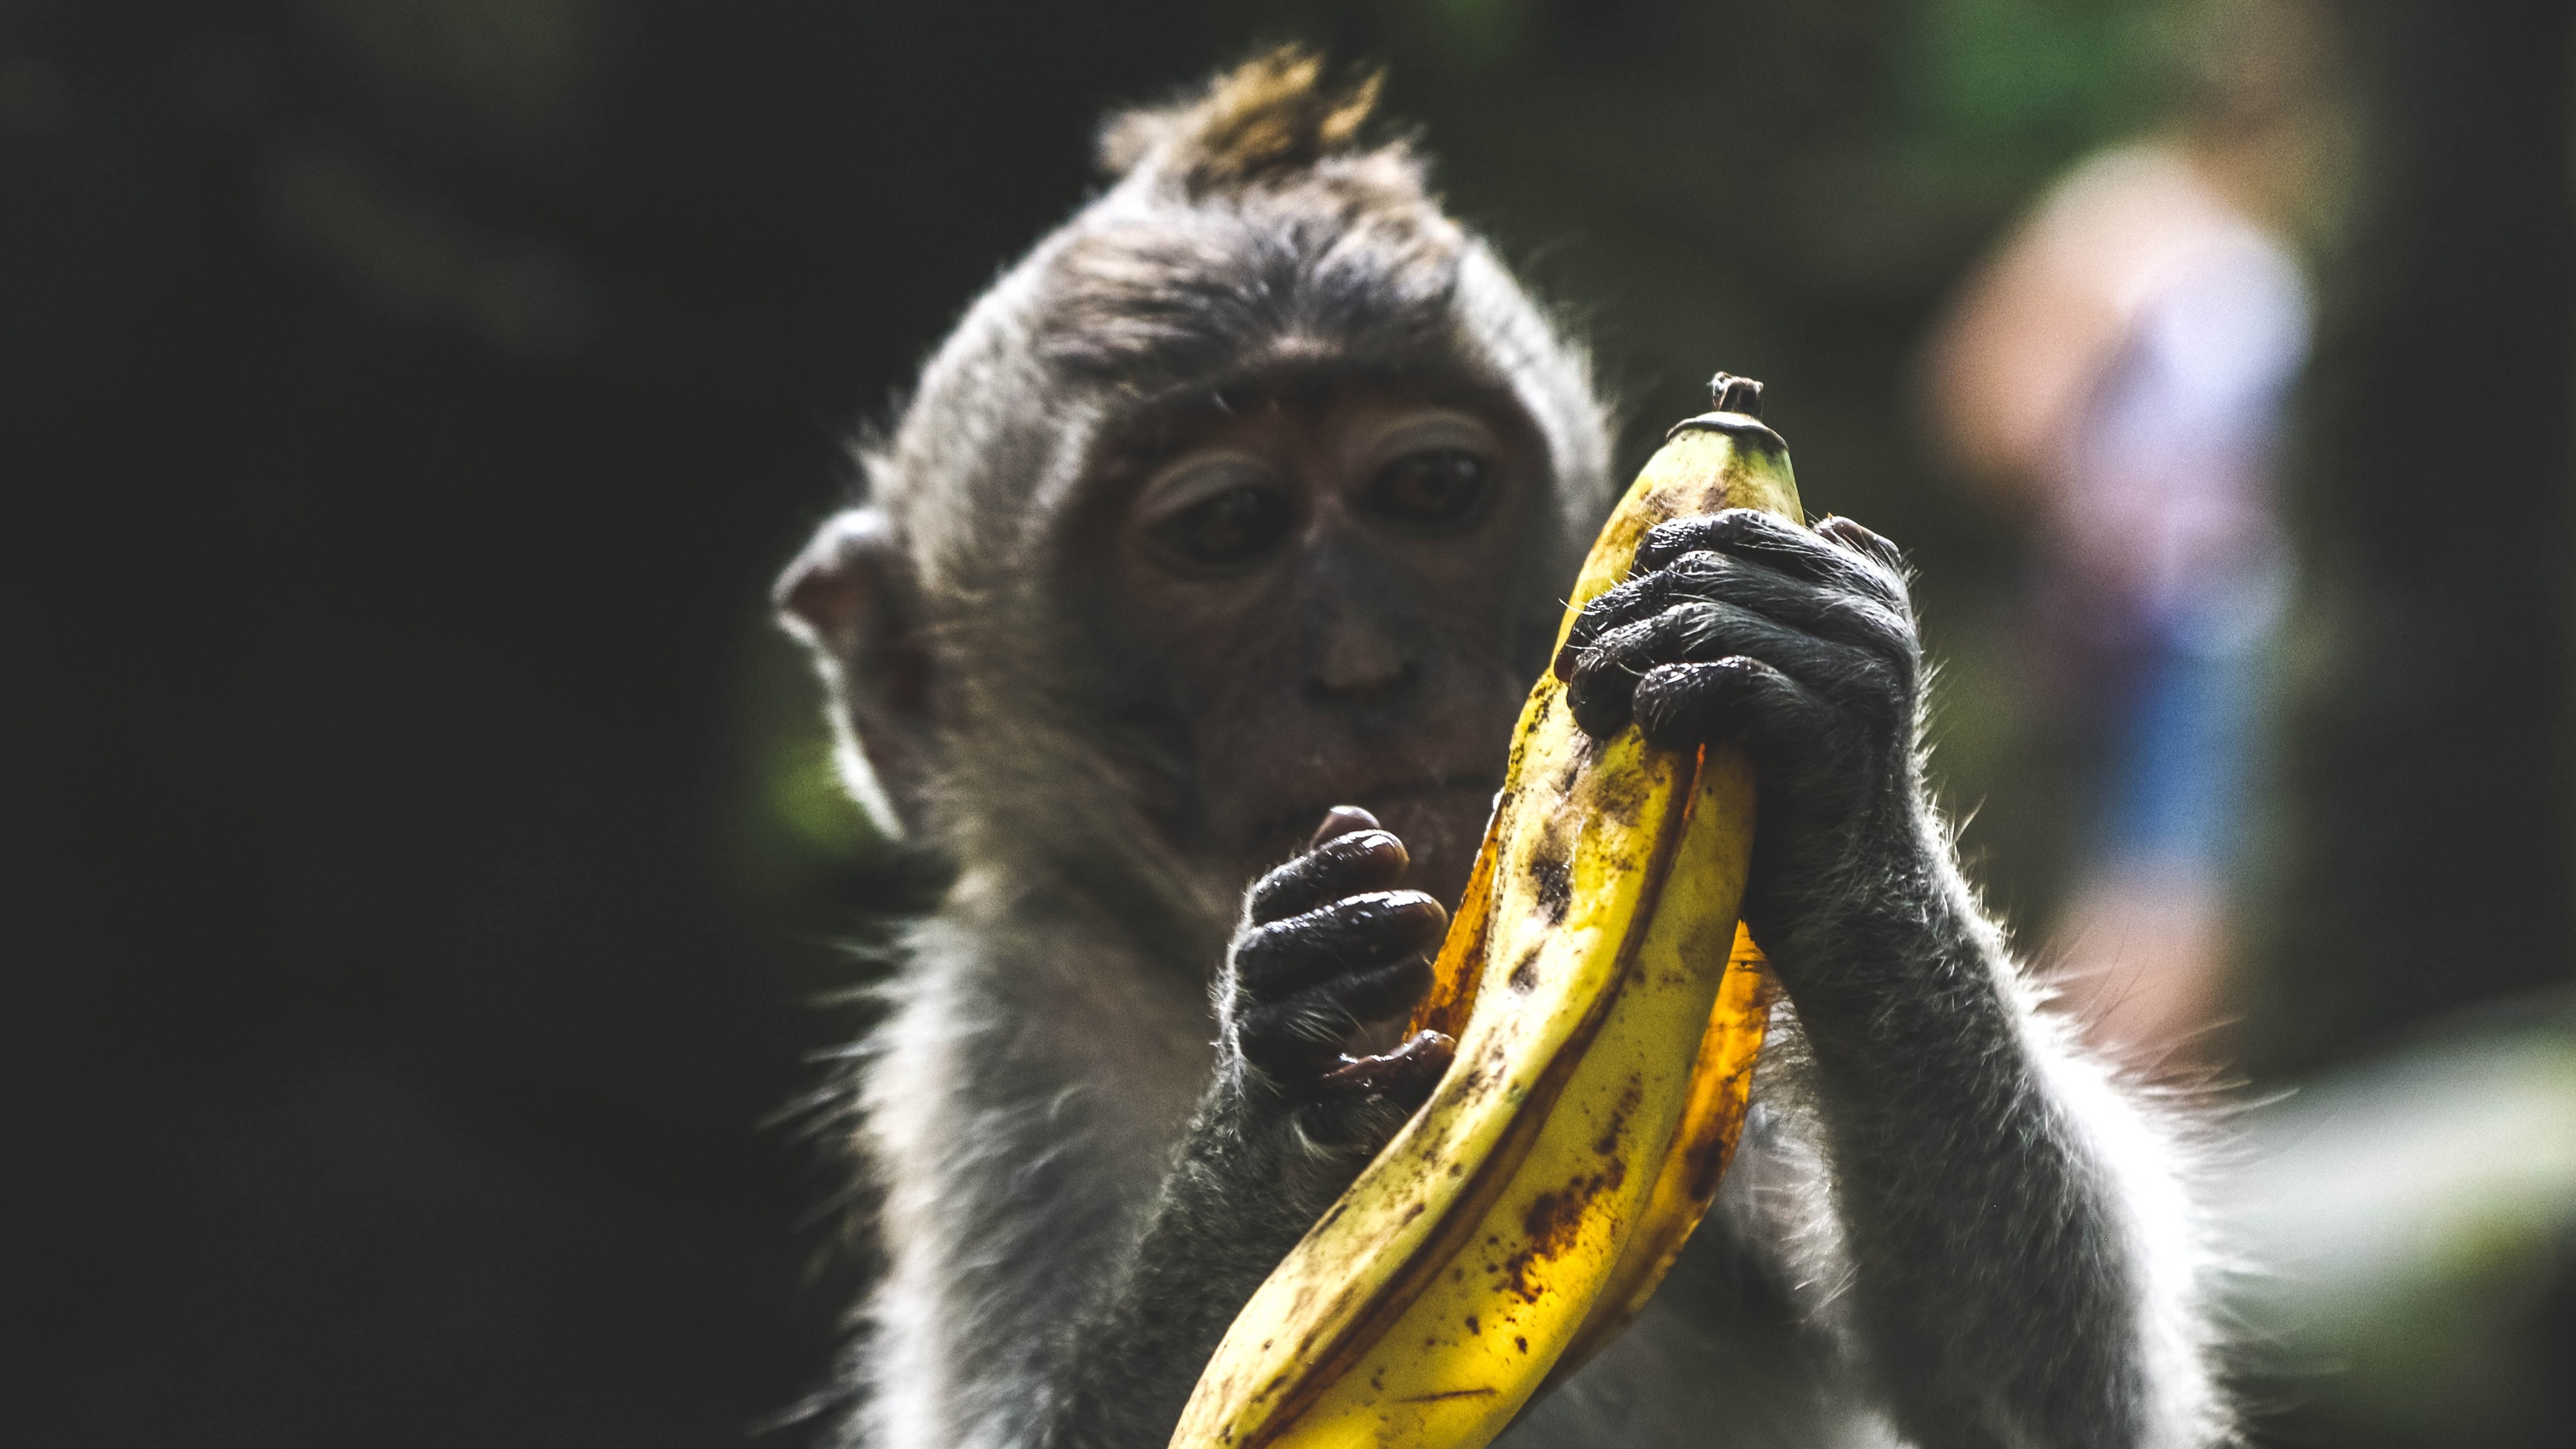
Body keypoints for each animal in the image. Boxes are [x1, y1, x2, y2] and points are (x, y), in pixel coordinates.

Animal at [775, 49, 2226, 1449]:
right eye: (1227, 526)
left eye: (1428, 490)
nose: (1365, 659)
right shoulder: (993, 1048)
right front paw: (1281, 1082)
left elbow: (2061, 1411)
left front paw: (1844, 791)